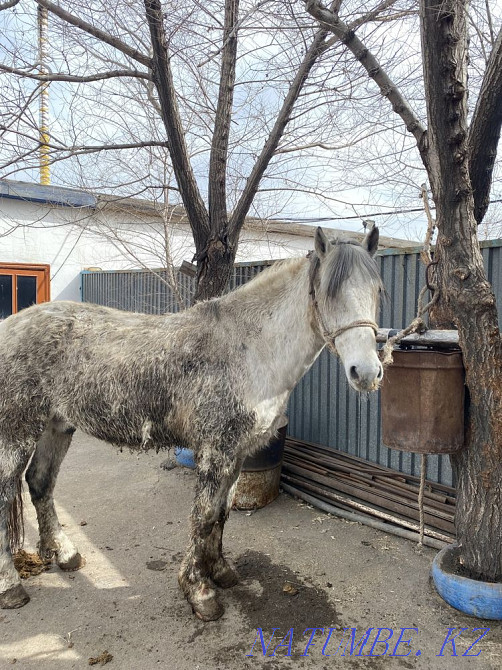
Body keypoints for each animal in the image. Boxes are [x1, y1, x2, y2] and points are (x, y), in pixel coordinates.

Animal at [0, 226, 383, 621]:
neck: (248, 349)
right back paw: (11, 588)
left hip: (57, 426)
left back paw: (65, 554)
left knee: (40, 482)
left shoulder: (238, 453)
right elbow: (202, 516)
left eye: (376, 290)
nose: (367, 372)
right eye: (329, 292)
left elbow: (221, 513)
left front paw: (220, 571)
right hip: (17, 432)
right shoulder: (216, 451)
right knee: (7, 492)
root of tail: (10, 325)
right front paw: (199, 591)